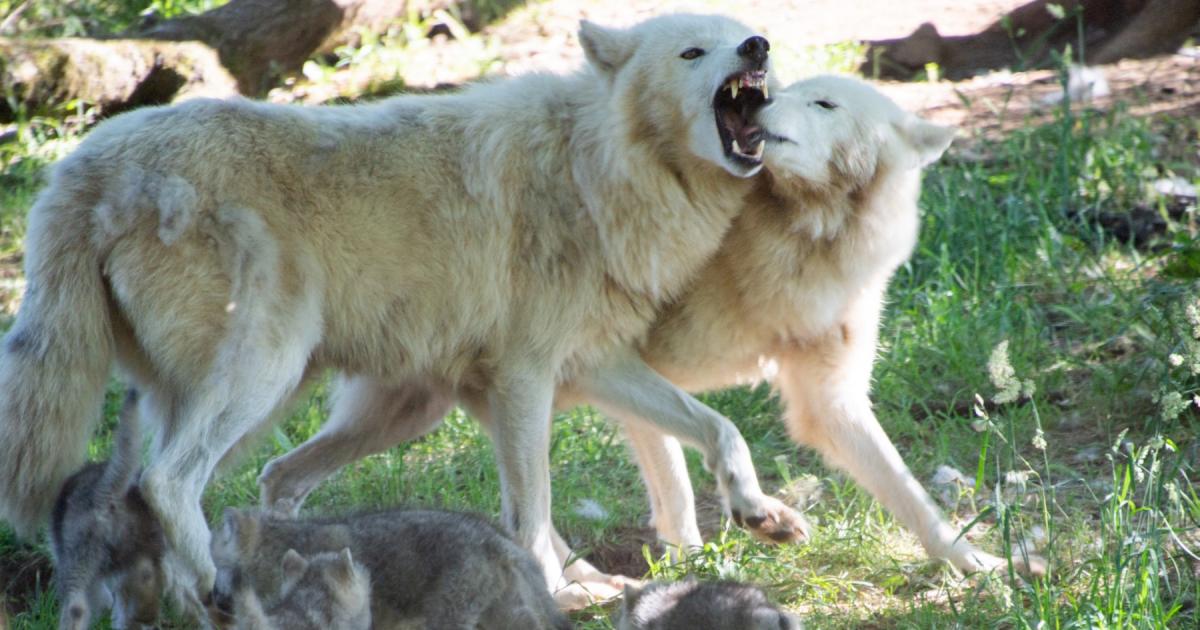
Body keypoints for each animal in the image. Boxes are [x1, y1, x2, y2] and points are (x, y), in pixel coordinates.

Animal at [2, 13, 806, 604]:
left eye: (739, 31)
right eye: (692, 52)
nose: (758, 46)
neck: (593, 166)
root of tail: (79, 167)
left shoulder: (589, 365)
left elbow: (720, 427)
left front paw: (760, 513)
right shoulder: (525, 380)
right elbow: (533, 511)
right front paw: (551, 594)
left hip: (373, 409)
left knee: (245, 482)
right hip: (266, 378)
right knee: (168, 482)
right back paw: (216, 590)